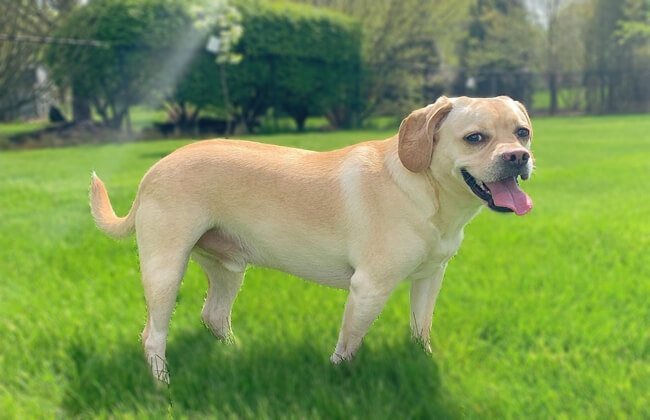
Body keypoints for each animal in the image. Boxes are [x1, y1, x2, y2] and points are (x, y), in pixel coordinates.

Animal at [90, 96, 532, 384]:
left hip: (229, 269)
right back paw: (162, 384)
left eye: (523, 133)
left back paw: (235, 352)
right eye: (474, 138)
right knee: (153, 335)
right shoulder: (368, 288)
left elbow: (420, 329)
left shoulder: (429, 278)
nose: (518, 157)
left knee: (213, 315)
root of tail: (153, 171)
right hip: (165, 271)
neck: (427, 191)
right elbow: (349, 344)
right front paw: (336, 381)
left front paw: (423, 362)